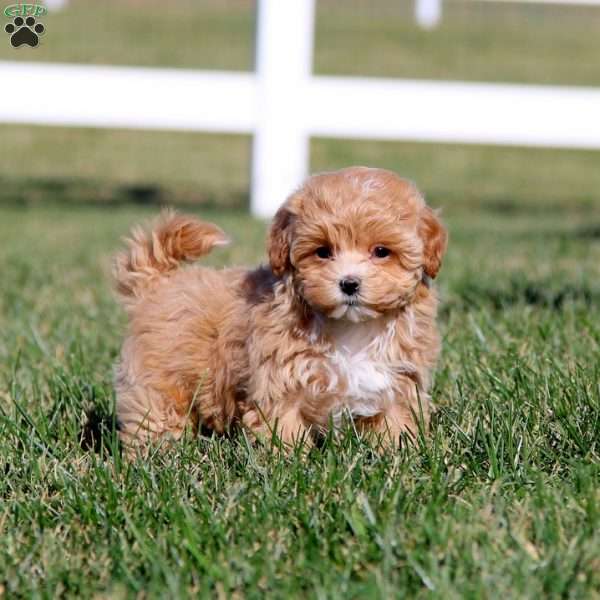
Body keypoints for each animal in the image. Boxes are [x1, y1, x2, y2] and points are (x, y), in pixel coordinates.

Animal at [115, 166, 448, 448]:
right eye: (323, 252)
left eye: (381, 251)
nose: (349, 284)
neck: (350, 328)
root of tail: (158, 283)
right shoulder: (278, 383)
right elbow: (284, 428)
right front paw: (288, 463)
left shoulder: (395, 382)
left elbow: (395, 423)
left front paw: (398, 455)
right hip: (160, 382)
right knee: (155, 417)